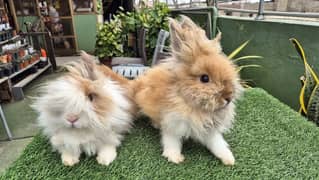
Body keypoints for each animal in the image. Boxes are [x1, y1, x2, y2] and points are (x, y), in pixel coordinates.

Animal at [131, 16, 244, 165]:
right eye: (204, 78)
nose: (228, 97)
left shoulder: (209, 130)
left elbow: (217, 143)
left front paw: (229, 159)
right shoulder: (172, 123)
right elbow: (171, 141)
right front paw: (174, 158)